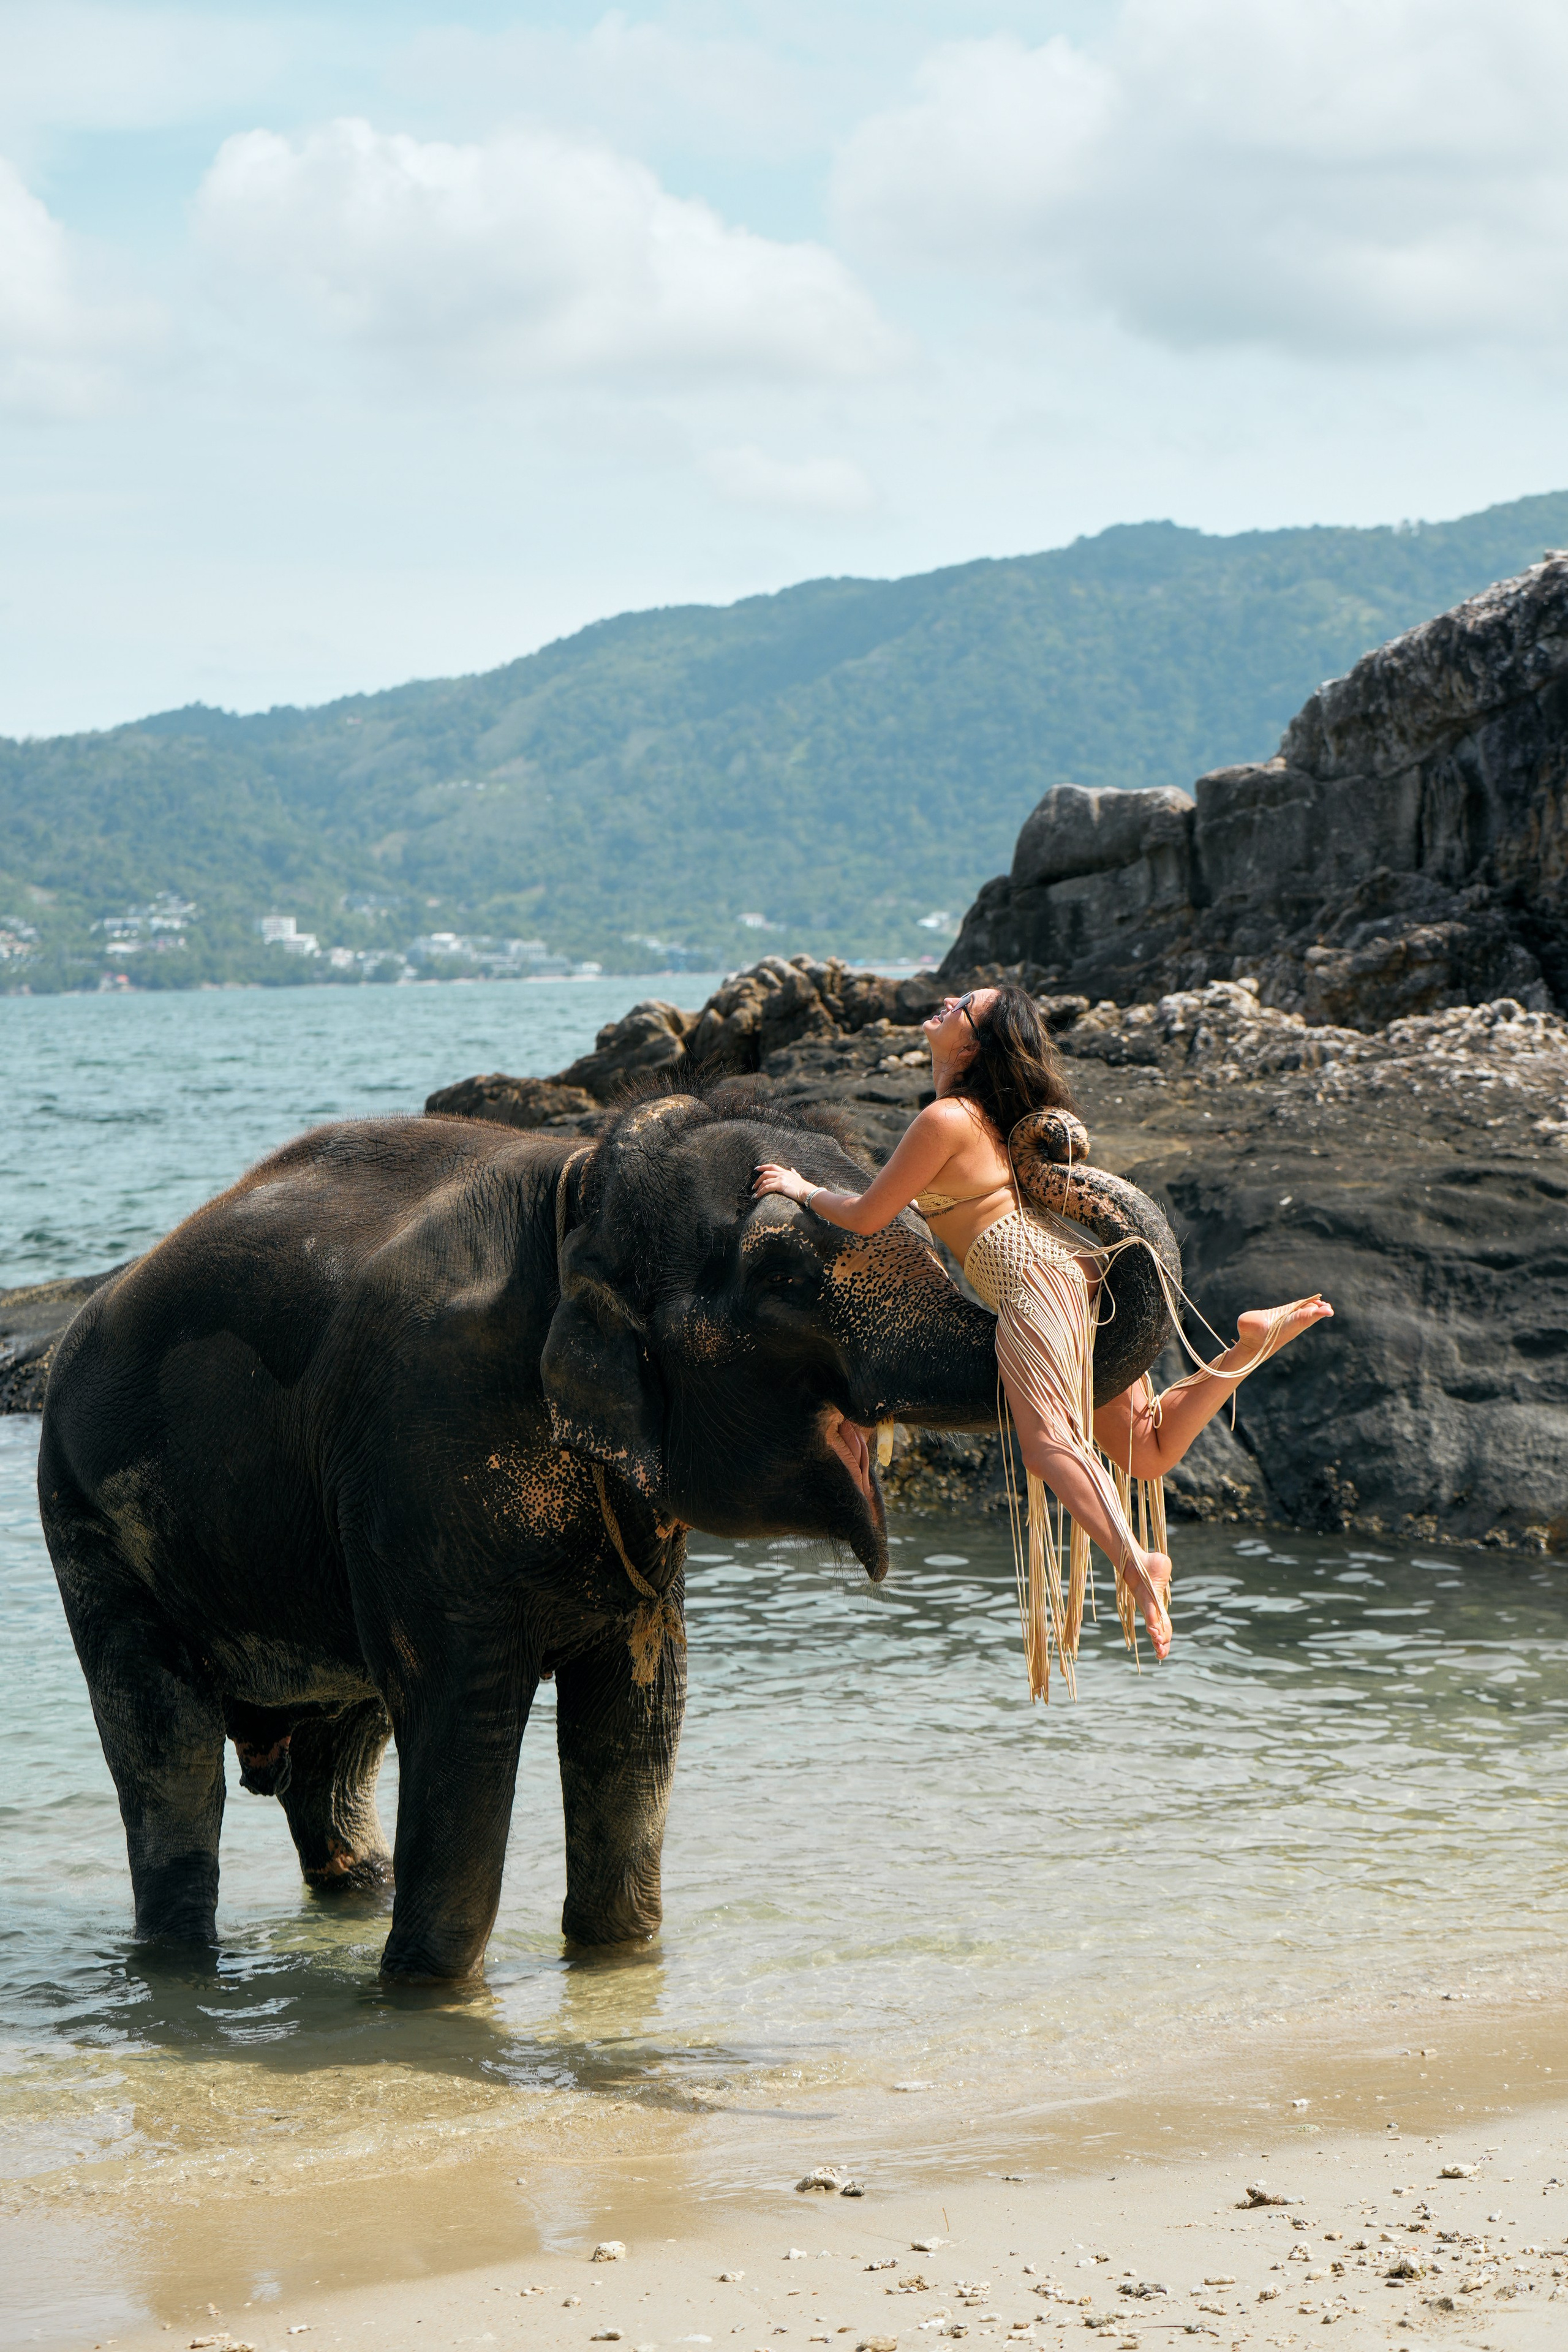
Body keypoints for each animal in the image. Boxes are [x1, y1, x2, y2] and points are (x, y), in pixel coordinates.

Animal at [38, 1083, 1008, 1982]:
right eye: (783, 1278)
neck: (579, 1195)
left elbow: (637, 1716)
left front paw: (615, 1961)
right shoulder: (423, 1442)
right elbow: (466, 1719)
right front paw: (421, 1997)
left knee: (336, 1751)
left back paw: (354, 1890)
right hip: (88, 1526)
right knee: (168, 1756)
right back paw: (179, 1960)